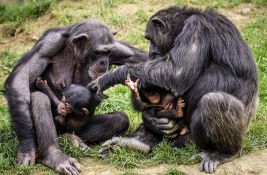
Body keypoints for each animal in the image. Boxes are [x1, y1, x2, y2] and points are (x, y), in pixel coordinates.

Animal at [5, 19, 149, 175]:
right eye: (98, 52)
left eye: (108, 52)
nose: (104, 61)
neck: (75, 51)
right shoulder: (48, 44)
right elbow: (21, 79)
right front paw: (27, 148)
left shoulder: (117, 48)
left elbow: (142, 60)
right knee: (39, 98)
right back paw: (55, 156)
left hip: (76, 128)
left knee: (119, 119)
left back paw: (74, 140)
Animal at [89, 7, 260, 174]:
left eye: (150, 39)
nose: (151, 50)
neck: (183, 26)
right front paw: (151, 120)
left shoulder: (197, 28)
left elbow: (175, 72)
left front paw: (109, 76)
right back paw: (135, 142)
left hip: (193, 140)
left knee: (214, 101)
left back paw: (222, 153)